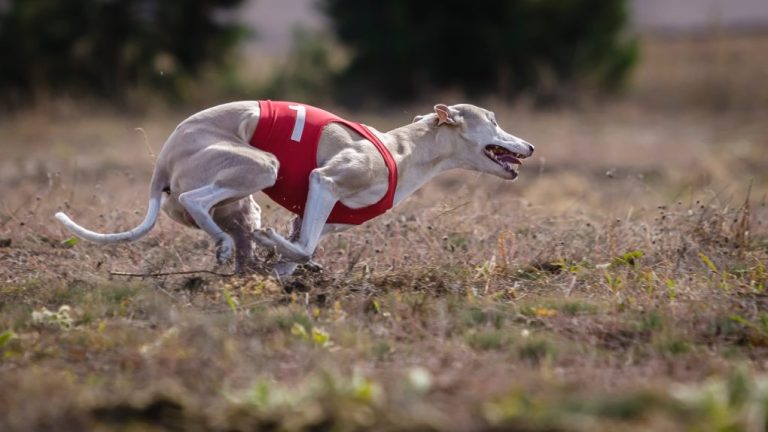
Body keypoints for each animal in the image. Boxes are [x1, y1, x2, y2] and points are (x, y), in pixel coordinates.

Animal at [54, 101, 536, 276]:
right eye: (494, 121)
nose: (529, 146)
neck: (404, 150)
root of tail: (161, 167)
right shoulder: (325, 182)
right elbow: (301, 248)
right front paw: (276, 247)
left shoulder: (315, 215)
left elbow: (297, 250)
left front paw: (277, 266)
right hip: (260, 167)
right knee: (198, 200)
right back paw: (226, 243)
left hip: (242, 202)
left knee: (236, 233)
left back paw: (239, 257)